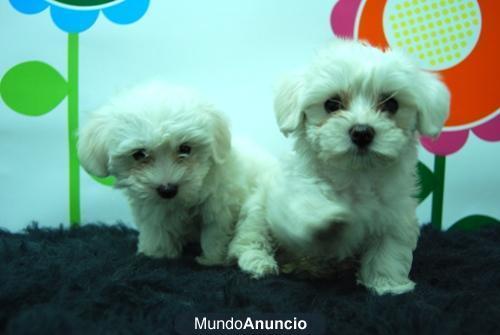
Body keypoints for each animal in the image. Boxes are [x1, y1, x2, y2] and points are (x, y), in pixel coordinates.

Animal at [78, 82, 274, 266]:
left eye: (185, 148)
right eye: (139, 154)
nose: (167, 189)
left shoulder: (221, 204)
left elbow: (214, 233)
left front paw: (212, 260)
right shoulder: (153, 208)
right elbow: (156, 230)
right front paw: (157, 254)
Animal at [229, 39, 452, 296]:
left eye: (391, 104)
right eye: (331, 104)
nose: (362, 132)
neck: (355, 175)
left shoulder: (395, 214)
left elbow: (389, 251)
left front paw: (386, 284)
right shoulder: (291, 191)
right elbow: (305, 206)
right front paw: (328, 220)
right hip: (257, 207)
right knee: (250, 237)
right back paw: (259, 262)